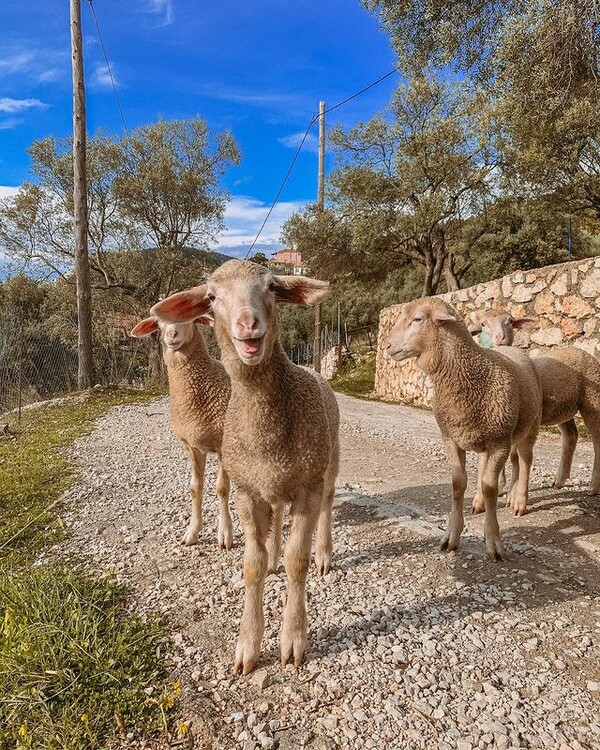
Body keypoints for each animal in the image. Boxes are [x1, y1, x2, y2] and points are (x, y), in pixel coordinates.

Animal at [130, 318, 233, 552]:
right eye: (158, 322)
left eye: (190, 317)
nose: (171, 335)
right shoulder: (192, 446)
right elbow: (195, 488)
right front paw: (192, 532)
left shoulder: (222, 443)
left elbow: (222, 488)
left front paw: (224, 534)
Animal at [150, 262, 340, 680]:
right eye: (211, 296)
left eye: (271, 287)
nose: (248, 324)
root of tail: (315, 371)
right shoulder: (246, 490)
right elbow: (251, 566)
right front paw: (248, 644)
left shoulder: (307, 484)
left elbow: (297, 562)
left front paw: (293, 639)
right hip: (274, 482)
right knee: (278, 515)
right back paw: (272, 558)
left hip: (329, 461)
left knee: (328, 505)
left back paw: (323, 553)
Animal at [384, 296, 544, 560]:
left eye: (417, 319)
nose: (387, 346)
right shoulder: (450, 438)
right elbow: (458, 484)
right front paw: (452, 536)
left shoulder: (500, 442)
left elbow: (491, 488)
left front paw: (493, 542)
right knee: (488, 466)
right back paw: (481, 501)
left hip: (529, 427)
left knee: (524, 459)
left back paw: (519, 500)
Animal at [468, 308, 600, 502]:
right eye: (483, 324)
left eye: (510, 321)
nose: (500, 338)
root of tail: (580, 351)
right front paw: (500, 487)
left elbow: (514, 456)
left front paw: (512, 494)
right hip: (563, 409)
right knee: (571, 435)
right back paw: (559, 480)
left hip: (592, 400)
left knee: (597, 439)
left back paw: (593, 487)